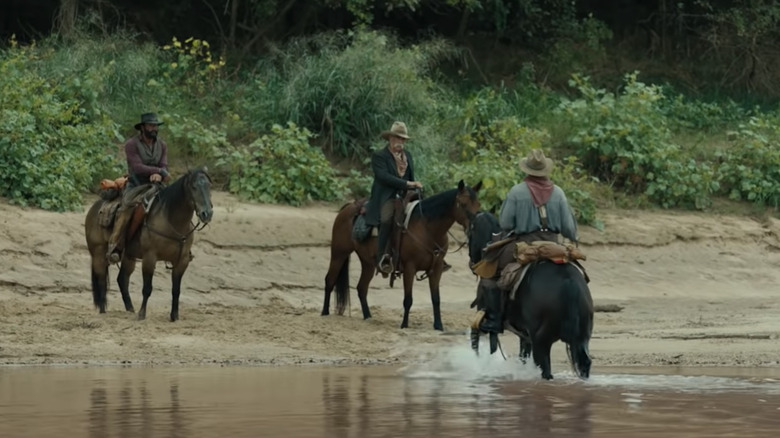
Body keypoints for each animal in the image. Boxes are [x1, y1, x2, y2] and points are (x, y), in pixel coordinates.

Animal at [83, 168, 213, 322]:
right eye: (193, 187)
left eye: (209, 186)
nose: (207, 213)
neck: (171, 220)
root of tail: (94, 208)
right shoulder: (150, 258)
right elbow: (147, 288)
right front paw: (141, 314)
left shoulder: (182, 261)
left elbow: (176, 290)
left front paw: (174, 316)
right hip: (98, 253)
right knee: (102, 280)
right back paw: (104, 311)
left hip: (129, 257)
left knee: (122, 279)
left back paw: (130, 310)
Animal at [322, 180, 482, 330]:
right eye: (463, 204)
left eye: (478, 204)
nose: (474, 228)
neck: (427, 228)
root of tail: (348, 207)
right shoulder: (410, 267)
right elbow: (408, 299)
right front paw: (404, 324)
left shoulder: (436, 269)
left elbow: (436, 298)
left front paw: (438, 326)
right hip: (339, 253)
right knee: (330, 280)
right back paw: (324, 313)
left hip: (367, 263)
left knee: (361, 288)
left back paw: (367, 317)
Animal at [466, 210, 596, 380]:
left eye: (470, 232)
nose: (472, 262)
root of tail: (569, 282)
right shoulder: (525, 335)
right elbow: (523, 354)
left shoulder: (482, 314)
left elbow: (475, 339)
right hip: (581, 339)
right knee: (584, 364)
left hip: (542, 343)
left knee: (545, 369)